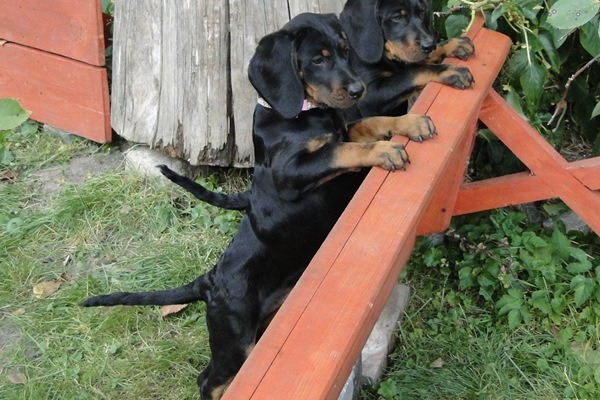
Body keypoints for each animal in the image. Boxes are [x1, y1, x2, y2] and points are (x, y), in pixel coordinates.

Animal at [81, 12, 436, 400]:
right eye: (318, 59)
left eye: (345, 50)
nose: (359, 90)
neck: (302, 115)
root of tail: (209, 280)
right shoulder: (288, 172)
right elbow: (344, 150)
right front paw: (385, 150)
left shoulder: (345, 129)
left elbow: (367, 124)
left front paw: (409, 122)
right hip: (234, 338)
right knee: (208, 380)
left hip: (264, 325)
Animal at [342, 0, 474, 119]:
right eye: (397, 17)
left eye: (422, 12)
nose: (429, 45)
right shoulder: (368, 96)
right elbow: (415, 71)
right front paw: (449, 71)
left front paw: (455, 44)